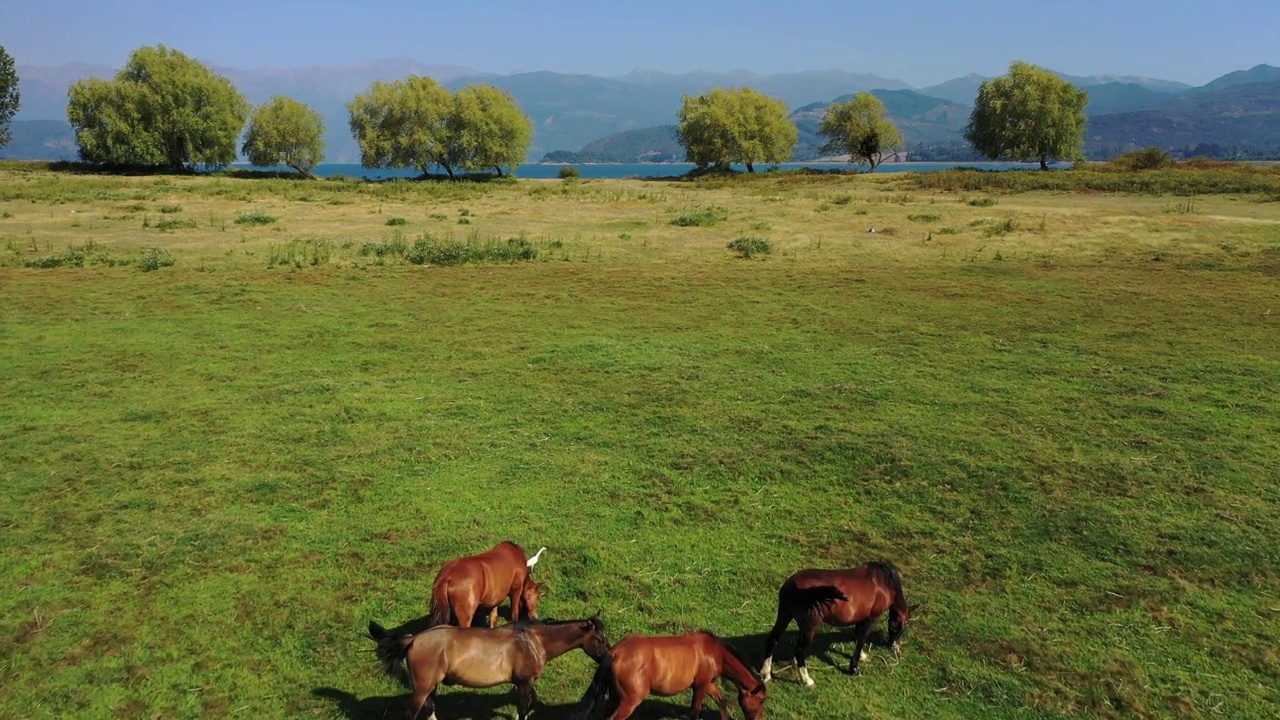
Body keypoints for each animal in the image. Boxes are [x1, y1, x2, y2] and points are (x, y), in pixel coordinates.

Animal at [371, 609, 609, 717]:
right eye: (600, 639)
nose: (609, 657)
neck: (533, 640)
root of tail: (414, 639)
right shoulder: (525, 682)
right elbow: (523, 708)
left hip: (430, 687)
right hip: (422, 688)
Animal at [576, 627, 762, 717]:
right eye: (761, 701)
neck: (715, 651)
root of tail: (615, 652)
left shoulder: (706, 683)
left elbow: (721, 701)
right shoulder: (701, 686)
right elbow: (694, 713)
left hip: (616, 698)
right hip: (629, 702)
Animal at [757, 558, 911, 686]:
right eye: (902, 629)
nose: (895, 647)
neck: (883, 582)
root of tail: (793, 585)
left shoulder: (860, 617)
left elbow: (858, 636)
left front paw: (861, 656)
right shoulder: (872, 618)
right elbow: (862, 638)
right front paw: (854, 668)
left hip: (784, 616)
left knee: (772, 640)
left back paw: (765, 674)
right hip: (809, 626)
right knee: (799, 650)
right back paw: (807, 680)